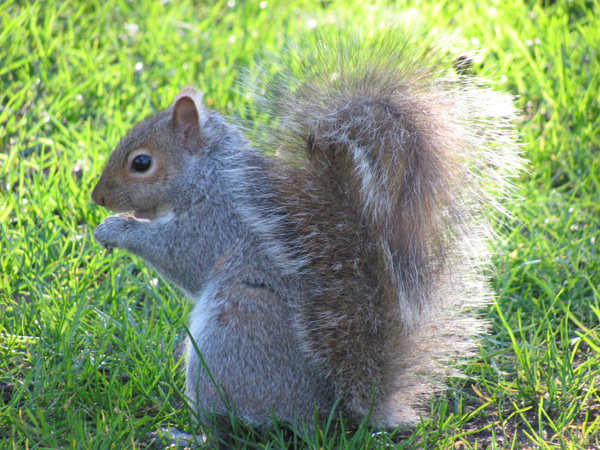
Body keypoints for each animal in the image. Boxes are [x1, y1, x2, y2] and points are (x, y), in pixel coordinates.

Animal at [91, 27, 524, 436]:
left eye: (142, 163)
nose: (97, 197)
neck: (210, 172)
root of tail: (331, 416)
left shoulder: (217, 221)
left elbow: (182, 257)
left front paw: (114, 229)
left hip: (233, 337)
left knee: (226, 428)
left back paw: (185, 434)